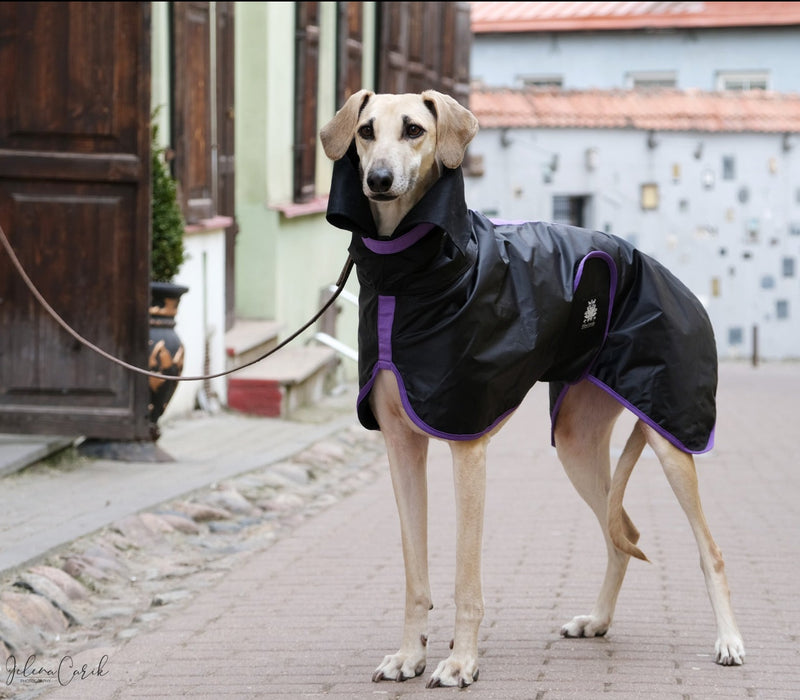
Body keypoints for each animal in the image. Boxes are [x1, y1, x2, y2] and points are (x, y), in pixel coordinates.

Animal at [318, 90, 744, 688]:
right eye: (364, 131)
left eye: (413, 130)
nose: (378, 180)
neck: (409, 275)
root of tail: (669, 276)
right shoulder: (402, 447)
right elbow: (414, 574)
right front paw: (408, 655)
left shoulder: (467, 446)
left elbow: (465, 576)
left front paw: (461, 661)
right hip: (576, 443)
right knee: (622, 532)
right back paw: (598, 620)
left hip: (670, 430)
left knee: (710, 548)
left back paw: (729, 640)